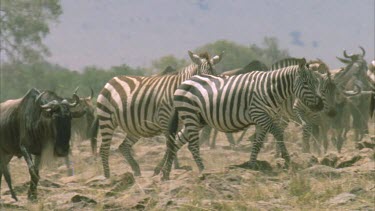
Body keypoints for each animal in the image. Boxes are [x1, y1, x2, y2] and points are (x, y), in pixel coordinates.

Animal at [95, 51, 223, 178]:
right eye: (201, 77)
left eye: (215, 75)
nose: (210, 98)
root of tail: (112, 79)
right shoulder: (165, 119)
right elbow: (170, 145)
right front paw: (165, 170)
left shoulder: (180, 123)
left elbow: (173, 145)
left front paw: (166, 168)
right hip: (106, 118)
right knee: (104, 148)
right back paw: (107, 176)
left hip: (135, 126)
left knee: (123, 146)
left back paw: (136, 169)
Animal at [159, 57, 324, 180]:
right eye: (306, 83)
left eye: (317, 82)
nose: (321, 105)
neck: (270, 90)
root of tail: (183, 83)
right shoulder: (260, 115)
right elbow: (278, 133)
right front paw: (288, 160)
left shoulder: (262, 119)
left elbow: (258, 143)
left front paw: (252, 165)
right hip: (191, 115)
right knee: (192, 145)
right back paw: (203, 171)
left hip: (197, 119)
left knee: (177, 140)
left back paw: (166, 173)